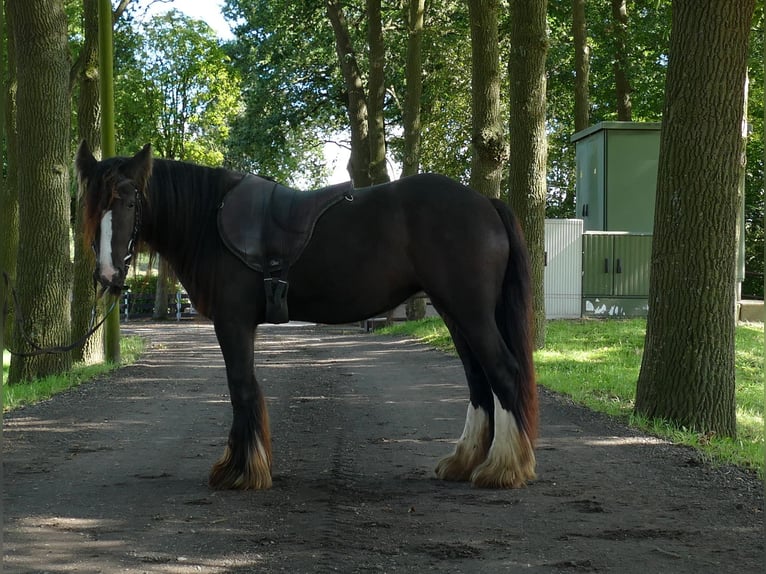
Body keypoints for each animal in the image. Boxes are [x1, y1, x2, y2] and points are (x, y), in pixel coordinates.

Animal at [75, 141, 538, 490]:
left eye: (130, 200)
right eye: (91, 205)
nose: (109, 275)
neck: (209, 219)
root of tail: (484, 202)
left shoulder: (233, 323)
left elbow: (241, 387)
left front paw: (241, 472)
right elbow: (245, 388)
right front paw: (244, 465)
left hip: (470, 312)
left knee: (502, 371)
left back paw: (503, 468)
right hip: (455, 312)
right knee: (478, 379)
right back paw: (465, 462)